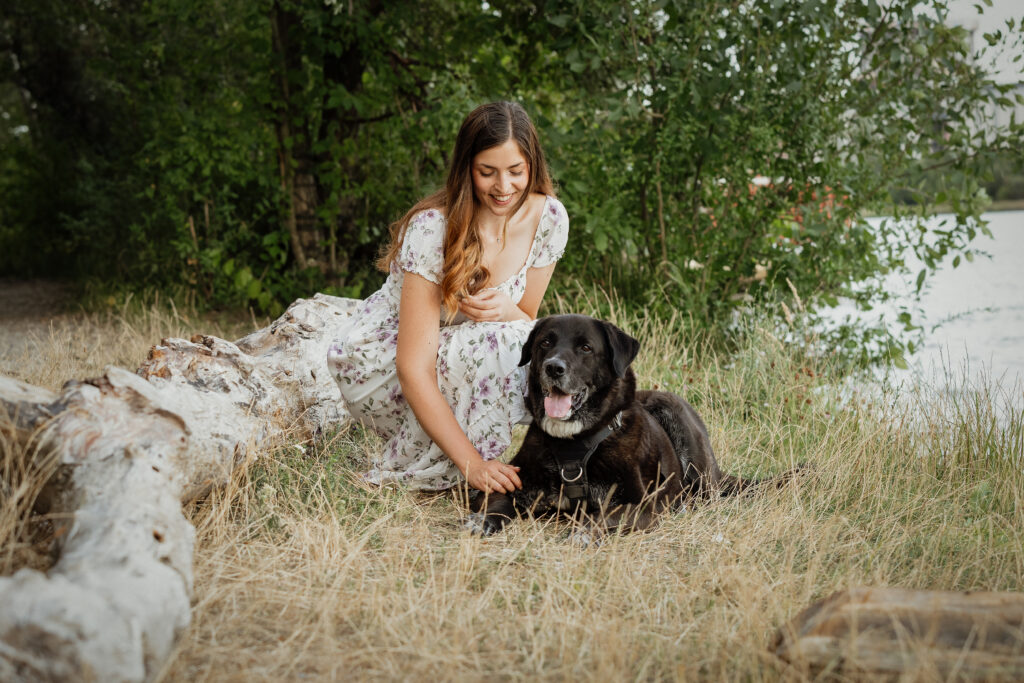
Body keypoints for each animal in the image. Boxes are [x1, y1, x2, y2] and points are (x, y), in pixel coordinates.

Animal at [468, 313, 794, 540]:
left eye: (586, 347)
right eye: (545, 343)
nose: (553, 368)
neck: (575, 441)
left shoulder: (642, 507)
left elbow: (602, 516)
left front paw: (584, 532)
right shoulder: (509, 483)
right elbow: (495, 504)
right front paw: (482, 522)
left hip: (677, 423)